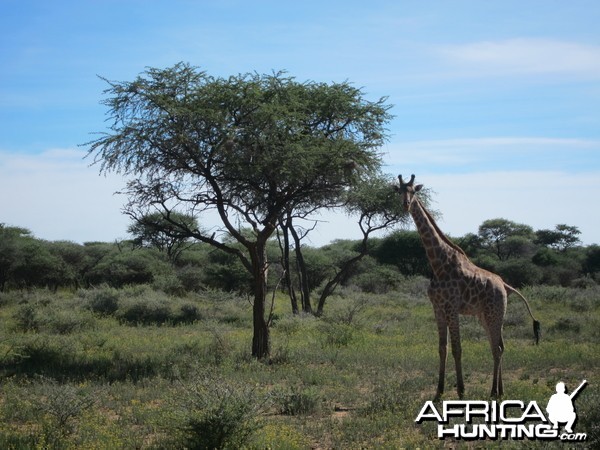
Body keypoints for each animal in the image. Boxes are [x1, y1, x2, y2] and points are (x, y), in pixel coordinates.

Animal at [396, 174, 540, 400]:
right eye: (399, 191)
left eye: (413, 191)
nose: (405, 204)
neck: (438, 263)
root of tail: (504, 285)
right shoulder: (437, 308)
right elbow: (442, 349)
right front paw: (438, 392)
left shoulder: (452, 307)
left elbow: (457, 349)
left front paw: (461, 391)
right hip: (485, 315)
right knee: (499, 345)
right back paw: (500, 391)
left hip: (495, 313)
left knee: (497, 348)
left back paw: (493, 391)